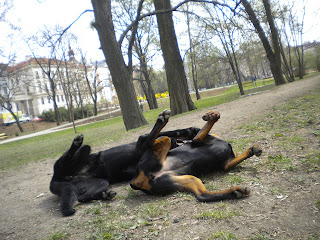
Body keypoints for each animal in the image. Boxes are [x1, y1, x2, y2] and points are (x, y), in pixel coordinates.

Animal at [49, 110, 200, 218]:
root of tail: (56, 180)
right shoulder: (142, 141)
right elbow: (156, 133)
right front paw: (174, 125)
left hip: (99, 182)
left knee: (82, 197)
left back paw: (105, 195)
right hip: (80, 154)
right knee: (69, 156)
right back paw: (76, 142)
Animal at [130, 110, 262, 201]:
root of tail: (136, 181)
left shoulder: (227, 164)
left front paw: (253, 150)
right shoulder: (198, 139)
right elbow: (211, 122)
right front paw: (213, 115)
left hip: (184, 179)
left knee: (202, 196)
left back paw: (236, 192)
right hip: (165, 140)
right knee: (149, 141)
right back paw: (161, 120)